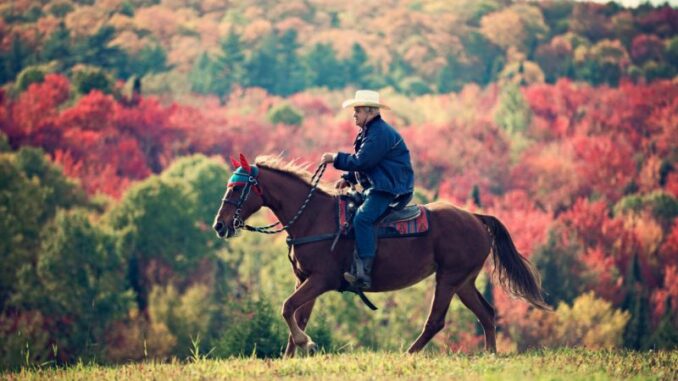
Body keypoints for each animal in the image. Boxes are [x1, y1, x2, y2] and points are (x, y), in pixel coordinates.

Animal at [212, 154, 552, 356]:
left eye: (236, 188)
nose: (220, 225)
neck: (312, 216)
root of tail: (476, 218)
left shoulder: (321, 280)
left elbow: (287, 308)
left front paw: (303, 343)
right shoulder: (305, 280)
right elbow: (297, 314)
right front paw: (291, 355)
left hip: (448, 279)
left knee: (436, 321)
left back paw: (409, 355)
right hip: (464, 281)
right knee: (486, 314)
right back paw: (490, 354)